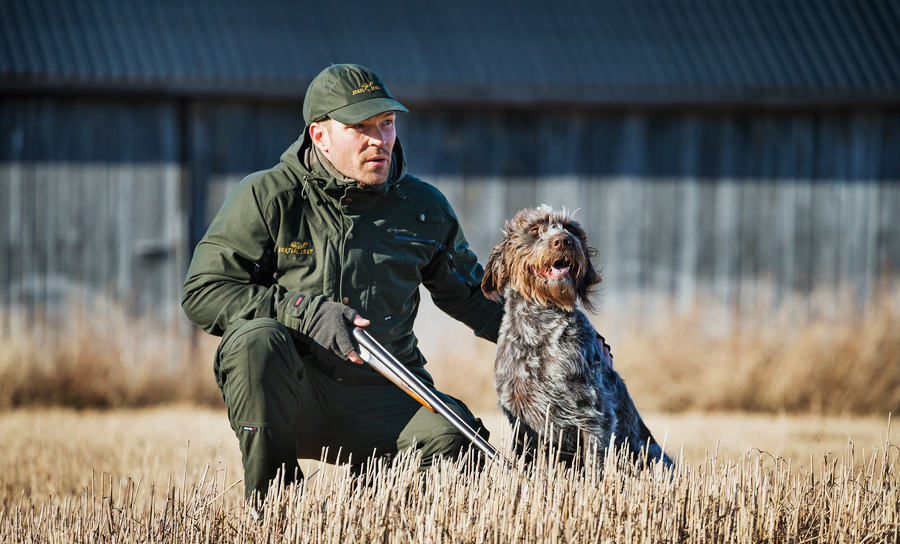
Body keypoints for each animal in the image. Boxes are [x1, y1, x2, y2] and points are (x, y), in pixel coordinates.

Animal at [482, 205, 672, 468]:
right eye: (534, 230)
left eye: (570, 229)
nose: (564, 241)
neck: (539, 328)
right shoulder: (521, 419)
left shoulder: (594, 415)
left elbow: (593, 464)